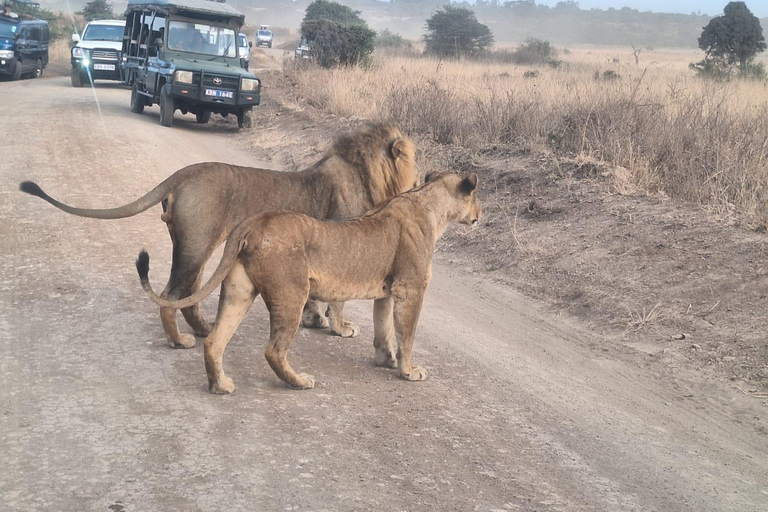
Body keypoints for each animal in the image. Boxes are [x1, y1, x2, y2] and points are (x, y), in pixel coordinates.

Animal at [19, 122, 414, 350]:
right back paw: (180, 341)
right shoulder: (343, 245)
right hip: (197, 244)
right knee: (171, 295)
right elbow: (338, 300)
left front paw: (313, 320)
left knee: (188, 295)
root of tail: (184, 173)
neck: (363, 172)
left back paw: (202, 329)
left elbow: (316, 297)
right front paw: (340, 328)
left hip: (194, 245)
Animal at [135, 172, 476, 392]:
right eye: (477, 199)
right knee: (273, 351)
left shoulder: (388, 290)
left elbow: (384, 329)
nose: (480, 215)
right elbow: (406, 335)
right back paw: (299, 382)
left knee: (214, 341)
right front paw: (409, 371)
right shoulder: (411, 288)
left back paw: (221, 385)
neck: (427, 203)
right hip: (292, 293)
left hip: (238, 292)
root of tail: (255, 222)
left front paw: (385, 360)